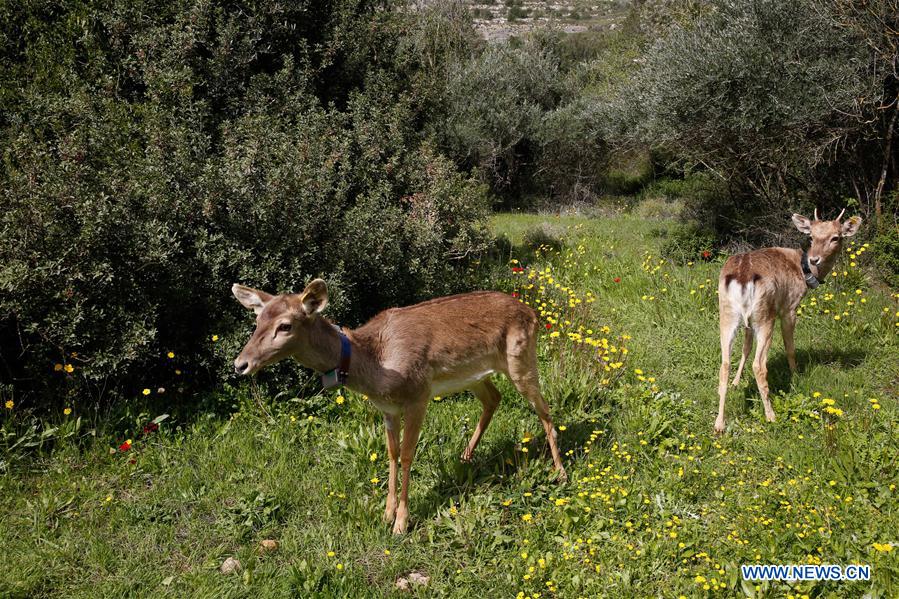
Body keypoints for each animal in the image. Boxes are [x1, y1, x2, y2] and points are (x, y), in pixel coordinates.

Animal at [231, 280, 567, 534]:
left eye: (285, 325)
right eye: (257, 321)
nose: (240, 364)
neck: (376, 367)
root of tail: (532, 311)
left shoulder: (419, 395)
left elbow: (407, 454)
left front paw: (402, 523)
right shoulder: (387, 408)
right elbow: (391, 453)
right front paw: (386, 513)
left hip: (521, 358)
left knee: (546, 410)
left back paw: (560, 472)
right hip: (473, 375)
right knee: (493, 399)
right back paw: (466, 456)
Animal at [715, 209, 861, 434]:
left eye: (835, 237)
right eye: (811, 237)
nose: (815, 259)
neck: (802, 270)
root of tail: (742, 277)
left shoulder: (748, 322)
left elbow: (745, 348)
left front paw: (737, 382)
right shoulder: (789, 307)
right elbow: (789, 346)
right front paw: (796, 374)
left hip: (728, 314)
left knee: (724, 364)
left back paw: (719, 423)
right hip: (765, 315)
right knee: (759, 365)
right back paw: (771, 415)